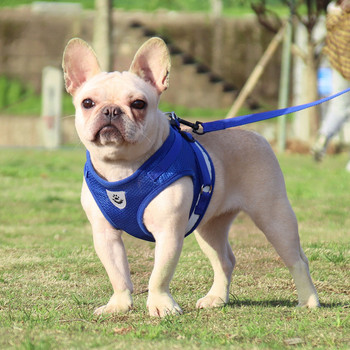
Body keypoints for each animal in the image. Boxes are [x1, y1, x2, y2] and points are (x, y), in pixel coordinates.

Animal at [63, 37, 320, 316]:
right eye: (87, 103)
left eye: (138, 104)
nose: (111, 110)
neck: (123, 165)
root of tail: (256, 135)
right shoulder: (104, 234)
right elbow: (117, 273)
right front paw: (119, 305)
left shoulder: (168, 233)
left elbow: (159, 275)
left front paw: (160, 305)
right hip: (209, 227)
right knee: (224, 261)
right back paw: (216, 298)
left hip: (273, 216)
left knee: (297, 259)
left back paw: (309, 300)